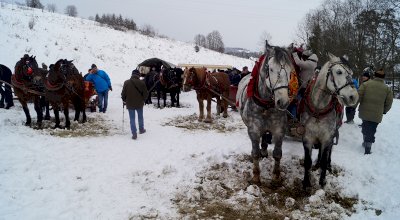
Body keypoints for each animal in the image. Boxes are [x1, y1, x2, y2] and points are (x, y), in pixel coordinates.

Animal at [238, 42, 294, 185]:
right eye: (271, 69)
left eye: (290, 71)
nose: (283, 102)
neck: (266, 107)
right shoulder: (253, 130)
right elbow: (255, 152)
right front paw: (256, 177)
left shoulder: (279, 129)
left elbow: (277, 153)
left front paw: (276, 177)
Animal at [300, 53, 360, 189]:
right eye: (339, 72)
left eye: (351, 73)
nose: (353, 97)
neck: (318, 109)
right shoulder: (307, 137)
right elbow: (307, 161)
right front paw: (306, 182)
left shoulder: (327, 137)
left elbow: (324, 158)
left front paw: (322, 181)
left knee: (329, 151)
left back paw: (328, 164)